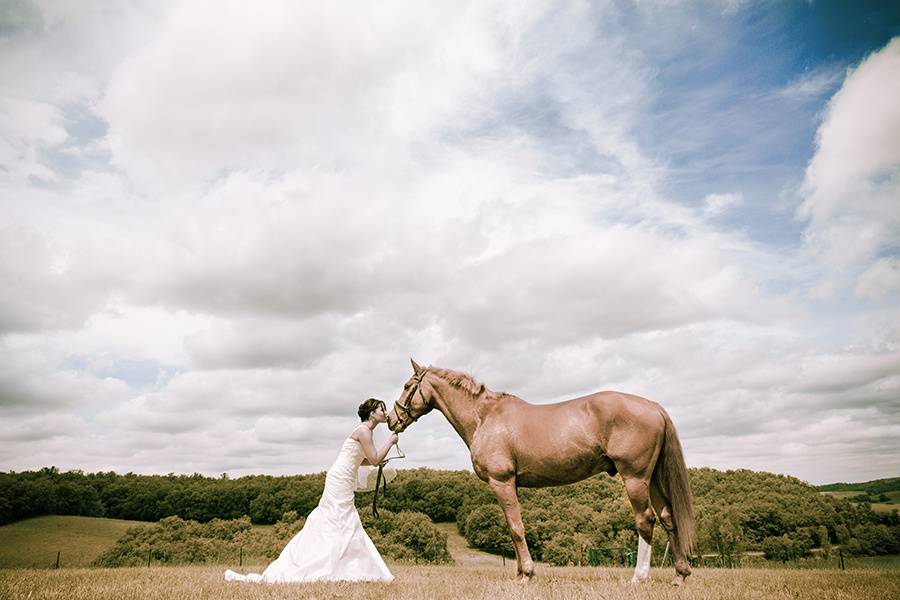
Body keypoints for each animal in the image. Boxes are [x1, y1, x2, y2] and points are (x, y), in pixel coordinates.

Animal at [386, 358, 696, 584]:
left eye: (407, 385)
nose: (391, 419)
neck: (485, 418)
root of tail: (653, 406)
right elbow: (512, 529)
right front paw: (520, 573)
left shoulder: (502, 482)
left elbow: (516, 528)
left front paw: (527, 575)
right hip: (651, 478)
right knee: (668, 518)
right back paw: (679, 576)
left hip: (635, 477)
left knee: (646, 521)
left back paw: (639, 578)